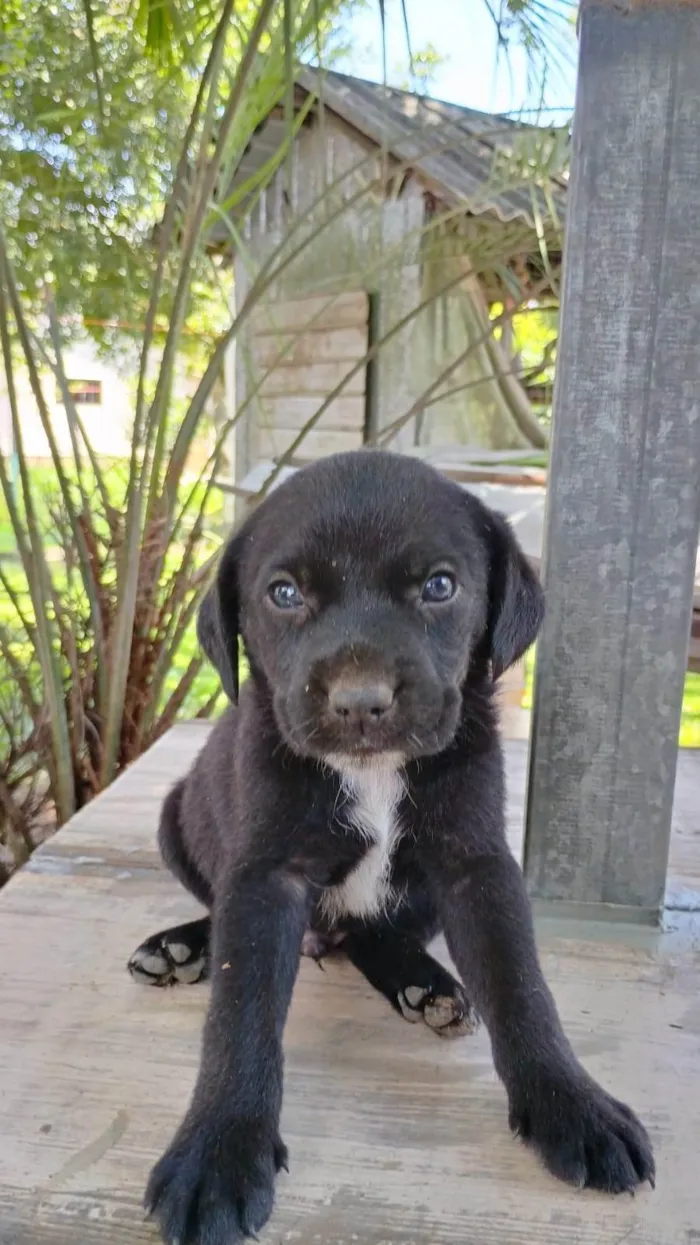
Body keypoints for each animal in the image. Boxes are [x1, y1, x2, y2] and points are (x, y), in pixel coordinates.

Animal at [129, 450, 652, 1245]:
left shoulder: (476, 865)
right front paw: (218, 1152)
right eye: (284, 593)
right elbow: (239, 1010)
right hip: (174, 817)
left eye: (440, 585)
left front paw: (575, 1106)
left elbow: (523, 988)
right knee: (231, 917)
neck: (373, 772)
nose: (360, 702)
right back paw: (181, 947)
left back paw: (424, 986)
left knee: (374, 935)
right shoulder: (266, 876)